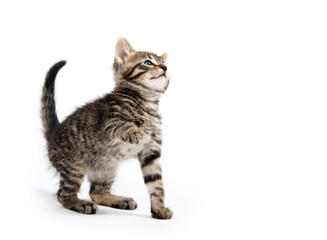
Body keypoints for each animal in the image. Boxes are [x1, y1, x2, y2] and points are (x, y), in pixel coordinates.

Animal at [40, 37, 174, 219]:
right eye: (148, 63)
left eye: (163, 64)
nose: (165, 68)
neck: (147, 103)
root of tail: (53, 132)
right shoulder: (107, 124)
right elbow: (122, 125)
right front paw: (135, 131)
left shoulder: (151, 152)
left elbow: (156, 183)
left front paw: (159, 209)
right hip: (73, 165)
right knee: (63, 194)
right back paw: (79, 203)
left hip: (107, 168)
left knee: (96, 192)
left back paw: (118, 200)